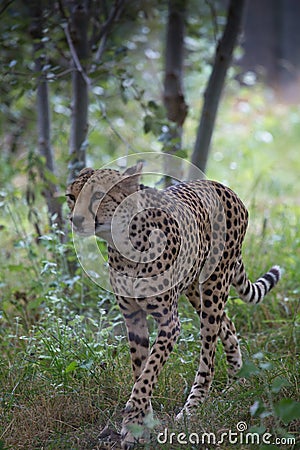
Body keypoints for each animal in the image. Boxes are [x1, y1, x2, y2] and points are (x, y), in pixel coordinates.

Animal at [66, 163, 282, 448]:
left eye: (99, 195)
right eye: (71, 197)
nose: (76, 220)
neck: (124, 244)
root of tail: (221, 186)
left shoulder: (170, 323)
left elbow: (149, 372)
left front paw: (134, 415)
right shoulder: (133, 318)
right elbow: (141, 369)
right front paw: (139, 424)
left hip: (214, 284)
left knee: (209, 353)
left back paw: (193, 407)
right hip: (194, 289)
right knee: (227, 324)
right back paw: (238, 379)